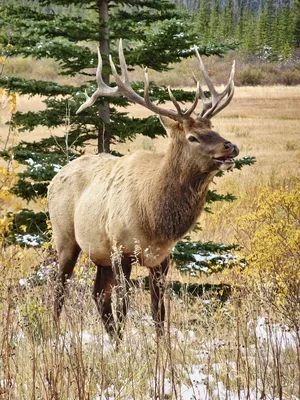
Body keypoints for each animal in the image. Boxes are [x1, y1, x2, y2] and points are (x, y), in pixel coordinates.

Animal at [47, 39, 239, 340]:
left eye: (213, 127)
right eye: (193, 137)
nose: (231, 147)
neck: (155, 220)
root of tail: (55, 177)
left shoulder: (162, 257)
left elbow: (158, 311)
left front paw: (160, 348)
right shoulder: (121, 249)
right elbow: (125, 305)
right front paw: (126, 345)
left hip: (99, 253)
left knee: (98, 295)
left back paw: (111, 340)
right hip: (66, 237)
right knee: (59, 288)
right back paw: (55, 336)